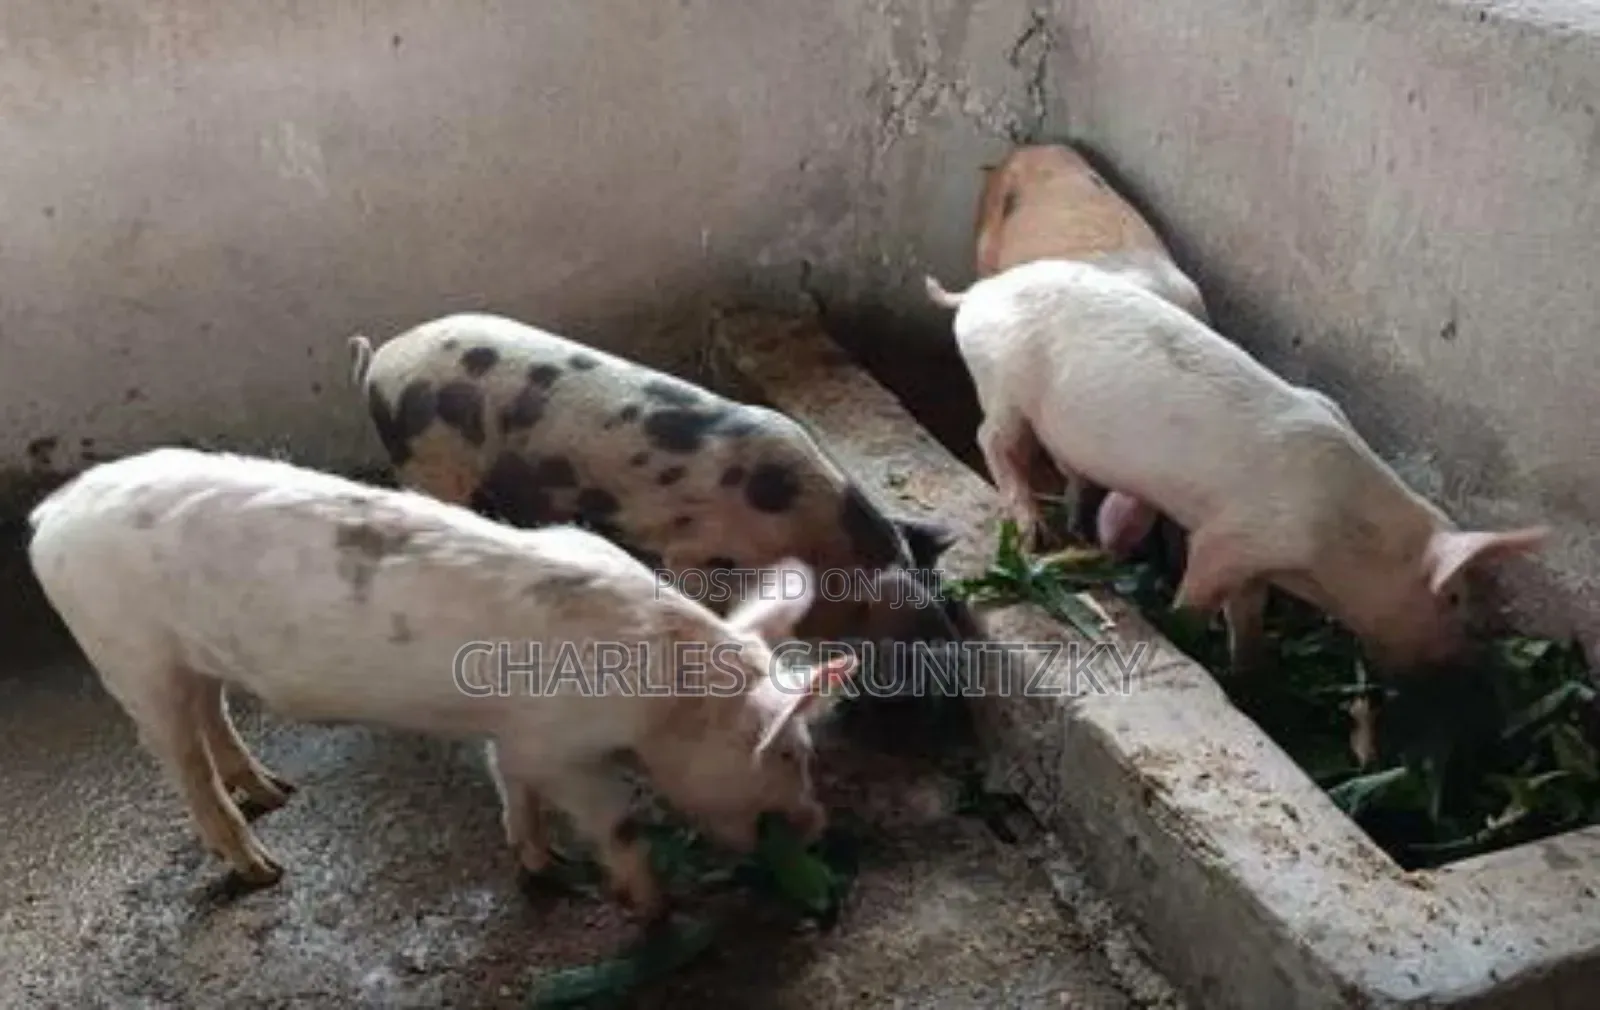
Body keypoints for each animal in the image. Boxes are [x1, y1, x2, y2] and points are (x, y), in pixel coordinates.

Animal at [27, 446, 856, 919]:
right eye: (791, 752)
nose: (819, 826)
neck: (664, 697)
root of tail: (51, 515)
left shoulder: (516, 736)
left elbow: (511, 786)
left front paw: (539, 864)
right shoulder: (561, 747)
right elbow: (613, 819)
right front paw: (652, 909)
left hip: (188, 656)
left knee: (212, 714)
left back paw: (277, 791)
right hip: (126, 652)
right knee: (181, 762)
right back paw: (264, 869)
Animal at [923, 258, 1549, 677]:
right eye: (1455, 599)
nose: (1466, 662)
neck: (1337, 539)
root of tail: (976, 293)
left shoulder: (1258, 563)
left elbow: (1247, 617)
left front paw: (1254, 673)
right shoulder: (1234, 535)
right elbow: (1201, 593)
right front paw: (1184, 634)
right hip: (1003, 383)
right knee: (993, 439)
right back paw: (1035, 531)